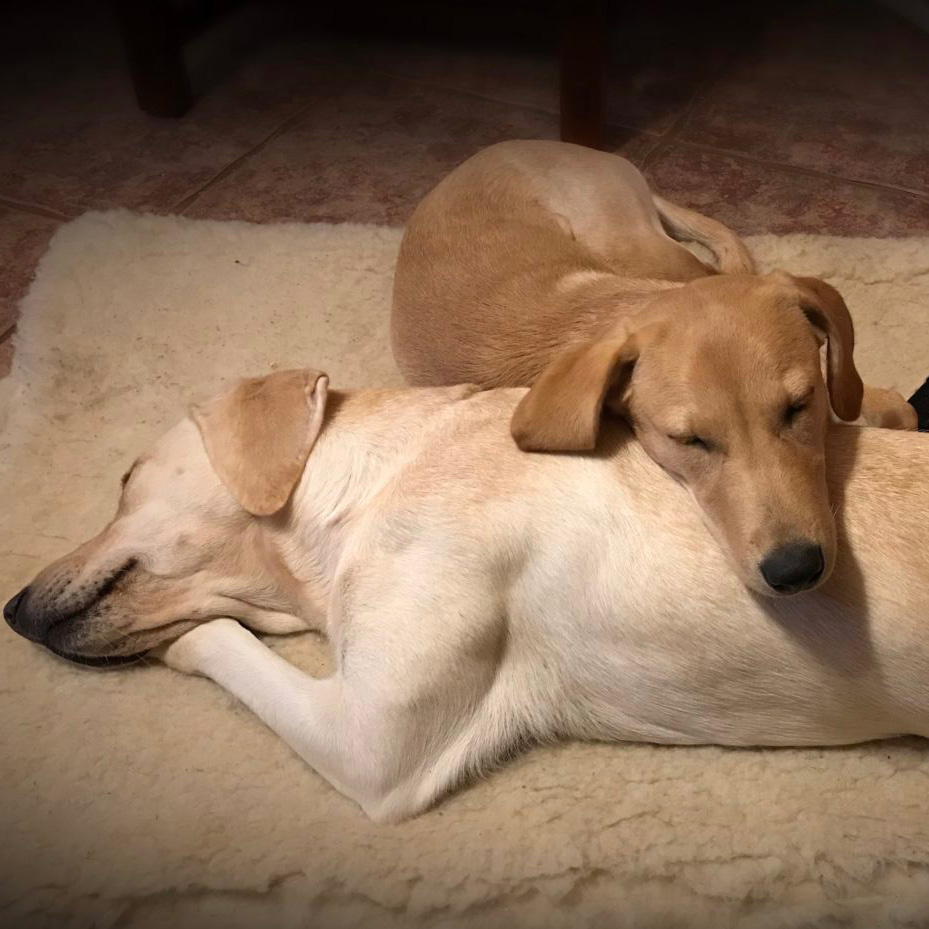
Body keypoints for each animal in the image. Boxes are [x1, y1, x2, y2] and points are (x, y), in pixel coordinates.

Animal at [7, 370, 928, 820]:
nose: (9, 609)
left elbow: (220, 640)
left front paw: (180, 639)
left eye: (125, 479)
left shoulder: (370, 742)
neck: (369, 486)